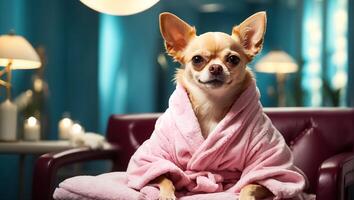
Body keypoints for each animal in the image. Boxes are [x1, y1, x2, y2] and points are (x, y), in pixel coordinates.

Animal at [156, 12, 272, 200]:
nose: (216, 67)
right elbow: (164, 176)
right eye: (197, 60)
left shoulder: (266, 164)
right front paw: (167, 194)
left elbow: (251, 184)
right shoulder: (154, 157)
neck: (211, 104)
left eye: (233, 59)